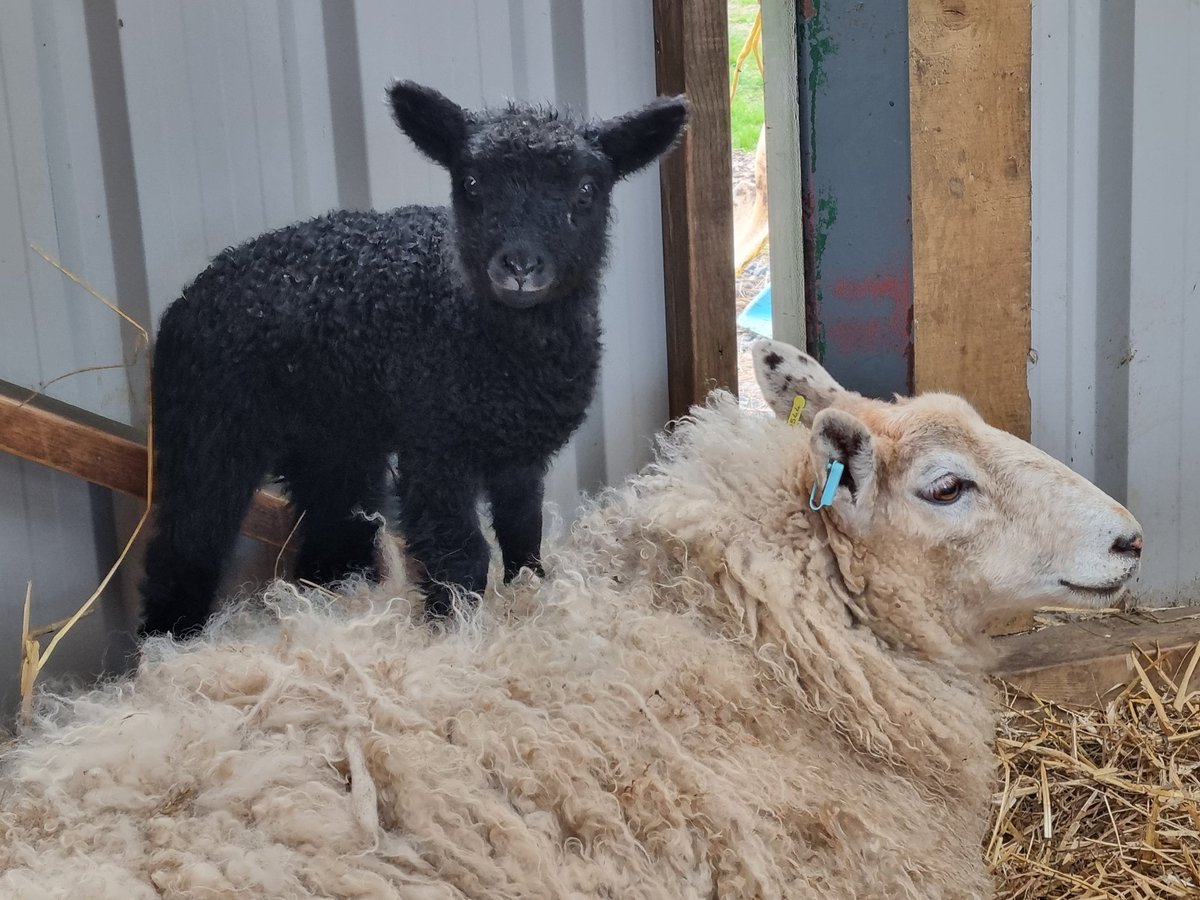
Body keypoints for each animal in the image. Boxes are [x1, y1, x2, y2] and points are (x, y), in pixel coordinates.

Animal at [139, 80, 688, 636]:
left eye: (586, 190)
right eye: (470, 183)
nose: (519, 266)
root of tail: (187, 298)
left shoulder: (520, 453)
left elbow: (523, 533)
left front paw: (530, 596)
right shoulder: (435, 440)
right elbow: (459, 552)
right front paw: (457, 633)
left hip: (334, 437)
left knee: (331, 532)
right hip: (210, 426)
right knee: (186, 541)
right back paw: (170, 640)